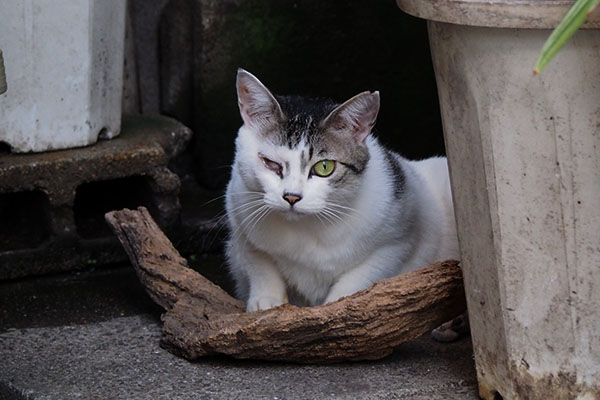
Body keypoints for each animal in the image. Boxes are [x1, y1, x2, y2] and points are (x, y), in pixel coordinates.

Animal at [225, 68, 460, 312]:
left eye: (324, 167)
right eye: (271, 163)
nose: (291, 197)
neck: (305, 228)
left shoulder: (396, 243)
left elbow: (358, 279)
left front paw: (337, 306)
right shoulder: (240, 225)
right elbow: (260, 265)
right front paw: (266, 301)